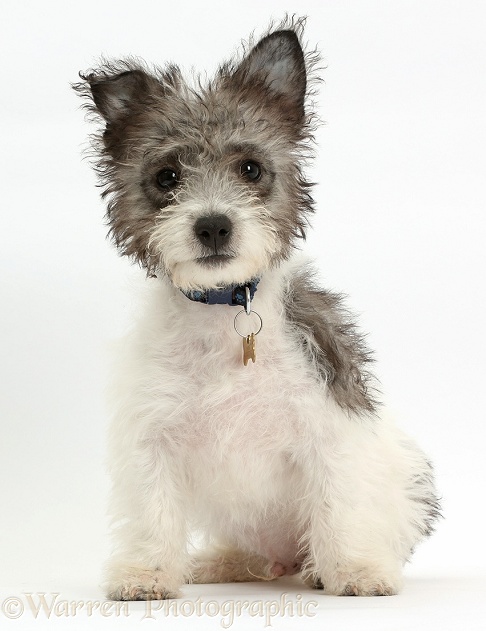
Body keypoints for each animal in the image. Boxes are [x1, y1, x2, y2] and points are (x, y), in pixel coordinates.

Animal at [75, 18, 440, 604]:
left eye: (250, 168)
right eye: (167, 177)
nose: (213, 226)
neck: (223, 312)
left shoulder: (330, 426)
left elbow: (339, 504)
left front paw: (355, 569)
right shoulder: (150, 437)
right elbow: (152, 510)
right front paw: (148, 573)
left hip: (409, 475)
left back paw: (317, 568)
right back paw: (224, 562)